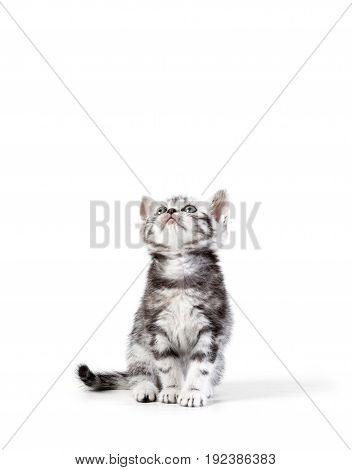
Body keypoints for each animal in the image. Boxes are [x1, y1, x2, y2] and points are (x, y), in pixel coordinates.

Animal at [80, 189, 234, 406]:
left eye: (190, 209)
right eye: (160, 210)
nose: (170, 211)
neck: (179, 271)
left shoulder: (212, 328)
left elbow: (201, 366)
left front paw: (193, 391)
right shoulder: (155, 327)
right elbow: (167, 364)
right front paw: (172, 390)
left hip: (221, 360)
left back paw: (207, 389)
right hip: (138, 346)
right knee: (139, 373)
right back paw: (145, 387)